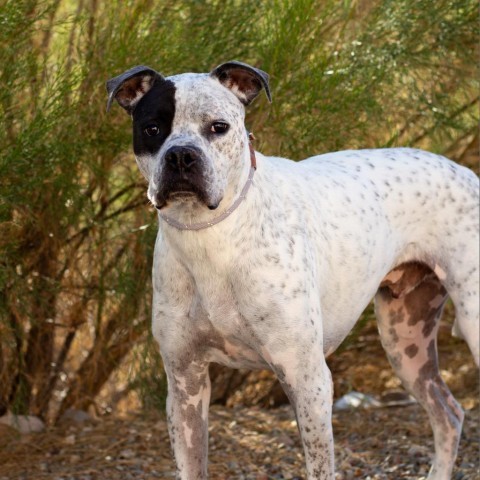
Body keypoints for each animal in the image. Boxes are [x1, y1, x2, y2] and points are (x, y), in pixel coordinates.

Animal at [107, 62, 478, 478]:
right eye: (152, 128)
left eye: (219, 127)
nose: (182, 156)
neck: (211, 238)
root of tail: (463, 169)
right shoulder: (185, 384)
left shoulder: (308, 379)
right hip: (406, 343)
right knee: (449, 413)